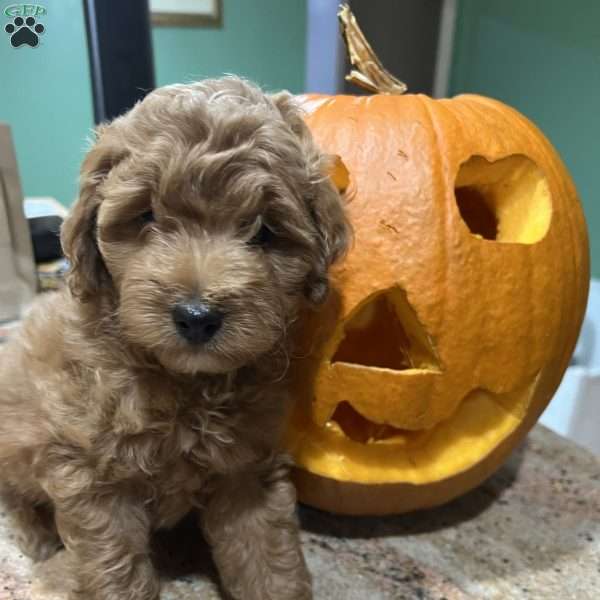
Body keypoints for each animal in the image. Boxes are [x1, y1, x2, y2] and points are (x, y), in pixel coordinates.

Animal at [0, 78, 346, 600]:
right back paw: (35, 537)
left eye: (264, 231)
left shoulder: (247, 467)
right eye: (146, 216)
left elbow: (266, 551)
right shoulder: (93, 481)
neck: (184, 383)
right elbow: (116, 572)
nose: (197, 317)